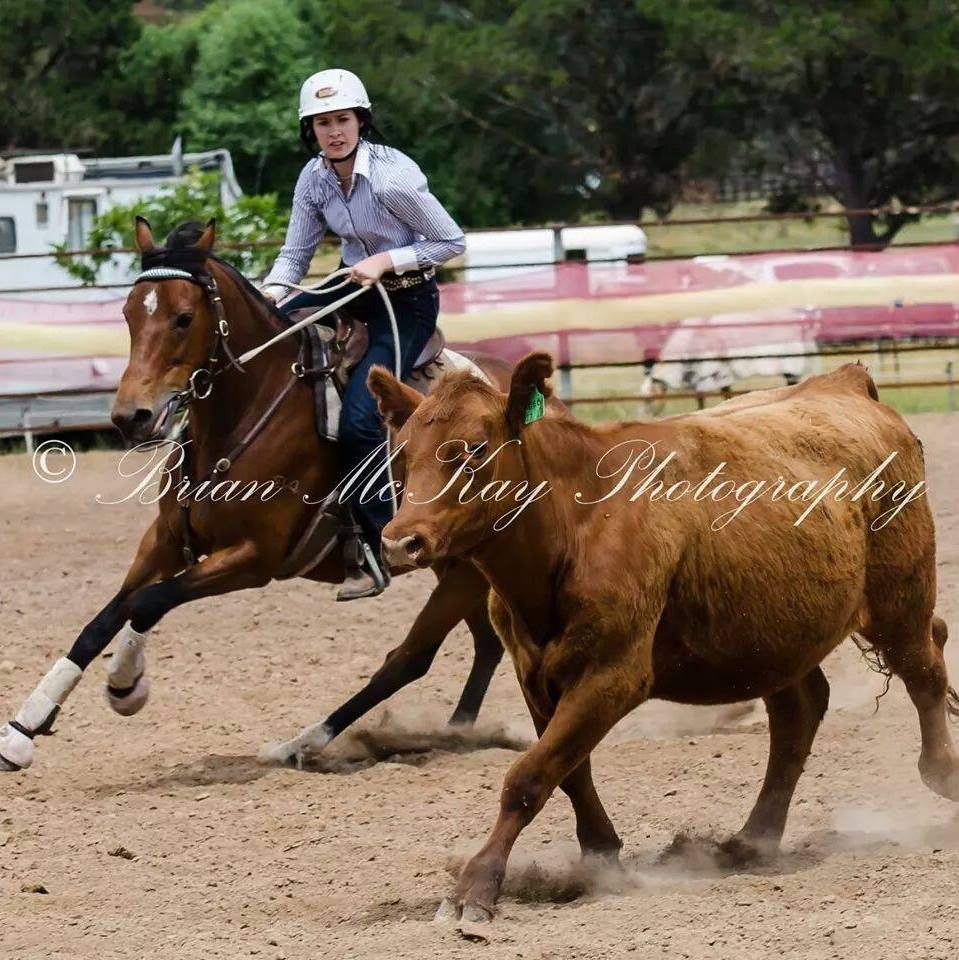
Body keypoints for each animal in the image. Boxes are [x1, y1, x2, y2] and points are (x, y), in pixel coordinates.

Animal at [1, 218, 516, 772]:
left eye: (184, 318)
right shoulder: (164, 539)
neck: (246, 412)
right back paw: (457, 729)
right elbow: (102, 620)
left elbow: (149, 602)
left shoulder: (254, 558)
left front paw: (126, 685)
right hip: (457, 566)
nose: (130, 417)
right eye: (128, 313)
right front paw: (24, 727)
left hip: (461, 571)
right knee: (486, 643)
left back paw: (303, 743)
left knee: (410, 659)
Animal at [366, 352, 952, 924]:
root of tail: (846, 383)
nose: (400, 543)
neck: (575, 524)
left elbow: (529, 776)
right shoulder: (534, 676)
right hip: (774, 638)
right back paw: (751, 840)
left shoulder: (614, 674)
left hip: (899, 600)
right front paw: (600, 857)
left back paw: (941, 771)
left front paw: (476, 887)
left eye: (474, 450)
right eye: (402, 454)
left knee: (926, 667)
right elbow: (568, 770)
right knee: (799, 713)